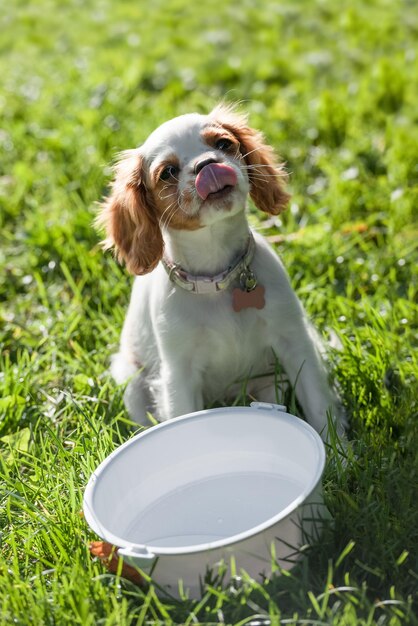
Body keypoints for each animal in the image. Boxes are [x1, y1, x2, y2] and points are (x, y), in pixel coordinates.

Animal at [99, 105, 346, 438]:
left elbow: (319, 404)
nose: (207, 164)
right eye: (168, 172)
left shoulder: (295, 341)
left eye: (223, 144)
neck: (217, 276)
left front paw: (340, 450)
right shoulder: (178, 374)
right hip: (133, 382)